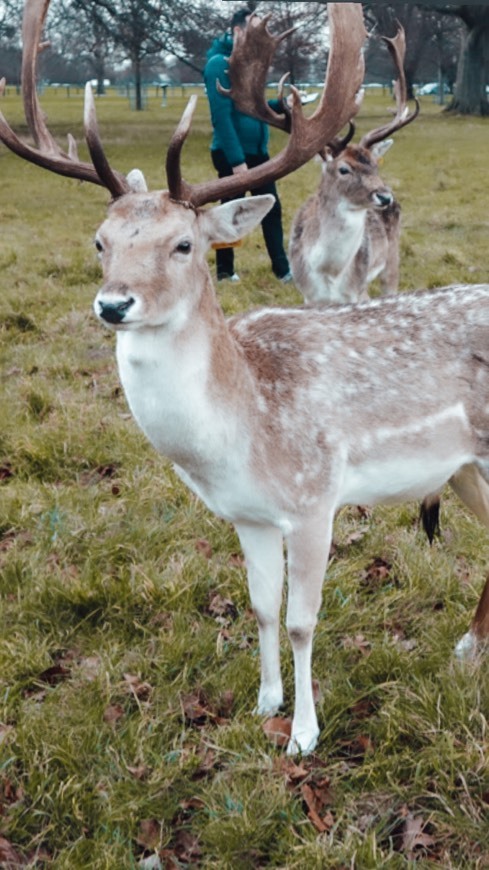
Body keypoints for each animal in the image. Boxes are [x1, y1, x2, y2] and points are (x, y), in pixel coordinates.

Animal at [2, 0, 488, 756]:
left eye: (184, 244)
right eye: (99, 242)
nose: (113, 304)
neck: (242, 432)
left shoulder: (315, 499)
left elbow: (300, 620)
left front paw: (304, 737)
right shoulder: (247, 515)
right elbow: (261, 609)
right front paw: (265, 705)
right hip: (461, 468)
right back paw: (466, 651)